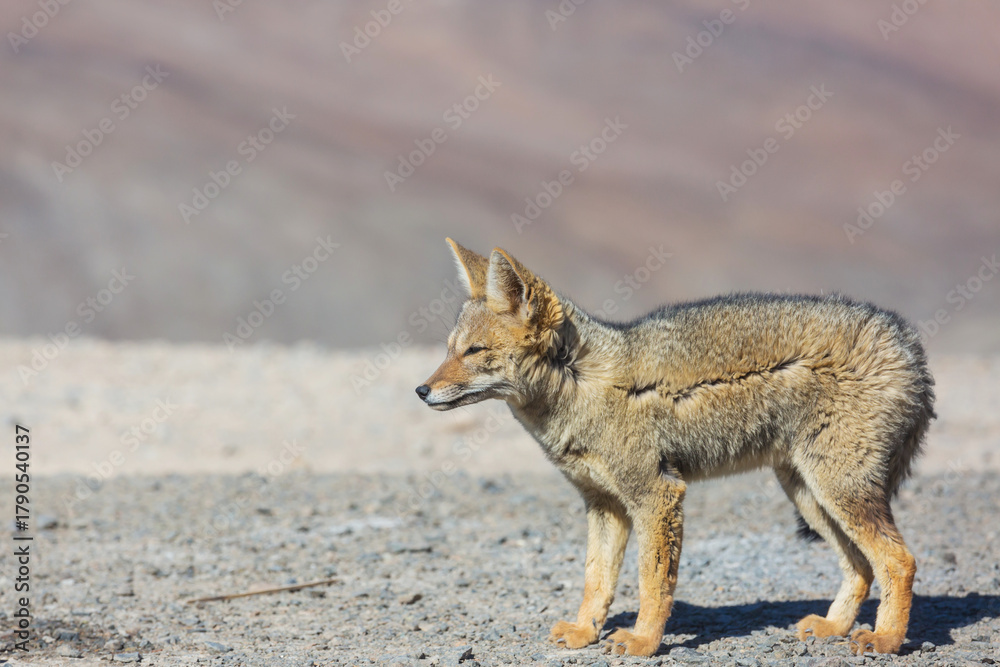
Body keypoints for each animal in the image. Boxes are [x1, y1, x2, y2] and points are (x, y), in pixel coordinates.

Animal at [415, 238, 935, 657]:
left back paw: (885, 639)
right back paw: (834, 627)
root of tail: (907, 340)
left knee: (899, 561)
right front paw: (585, 633)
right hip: (810, 494)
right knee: (861, 565)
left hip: (837, 490)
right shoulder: (604, 504)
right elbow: (595, 579)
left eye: (474, 352)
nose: (421, 391)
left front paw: (644, 642)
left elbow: (652, 582)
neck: (581, 384)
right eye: (449, 348)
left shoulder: (657, 494)